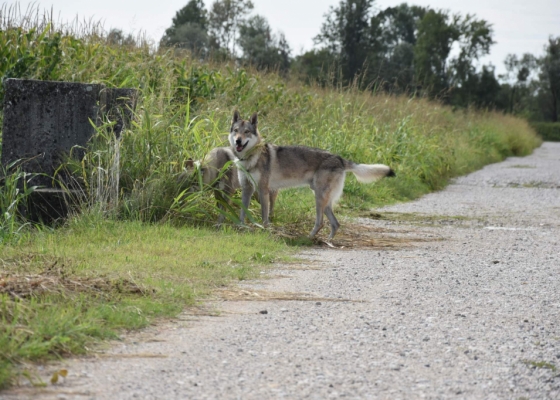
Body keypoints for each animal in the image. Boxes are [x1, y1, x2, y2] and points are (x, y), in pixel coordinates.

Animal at [228, 109, 394, 239]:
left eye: (246, 132)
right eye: (236, 131)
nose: (238, 141)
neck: (249, 158)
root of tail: (339, 158)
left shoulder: (264, 190)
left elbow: (264, 217)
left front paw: (264, 230)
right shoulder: (247, 189)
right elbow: (242, 211)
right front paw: (240, 227)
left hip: (319, 198)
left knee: (321, 223)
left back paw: (308, 239)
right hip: (323, 200)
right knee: (335, 224)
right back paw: (327, 241)